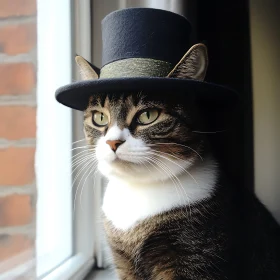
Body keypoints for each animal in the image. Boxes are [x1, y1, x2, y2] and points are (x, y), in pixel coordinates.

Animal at [76, 44, 280, 278]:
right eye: (99, 118)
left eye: (148, 115)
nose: (112, 142)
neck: (140, 189)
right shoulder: (123, 261)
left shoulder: (195, 254)